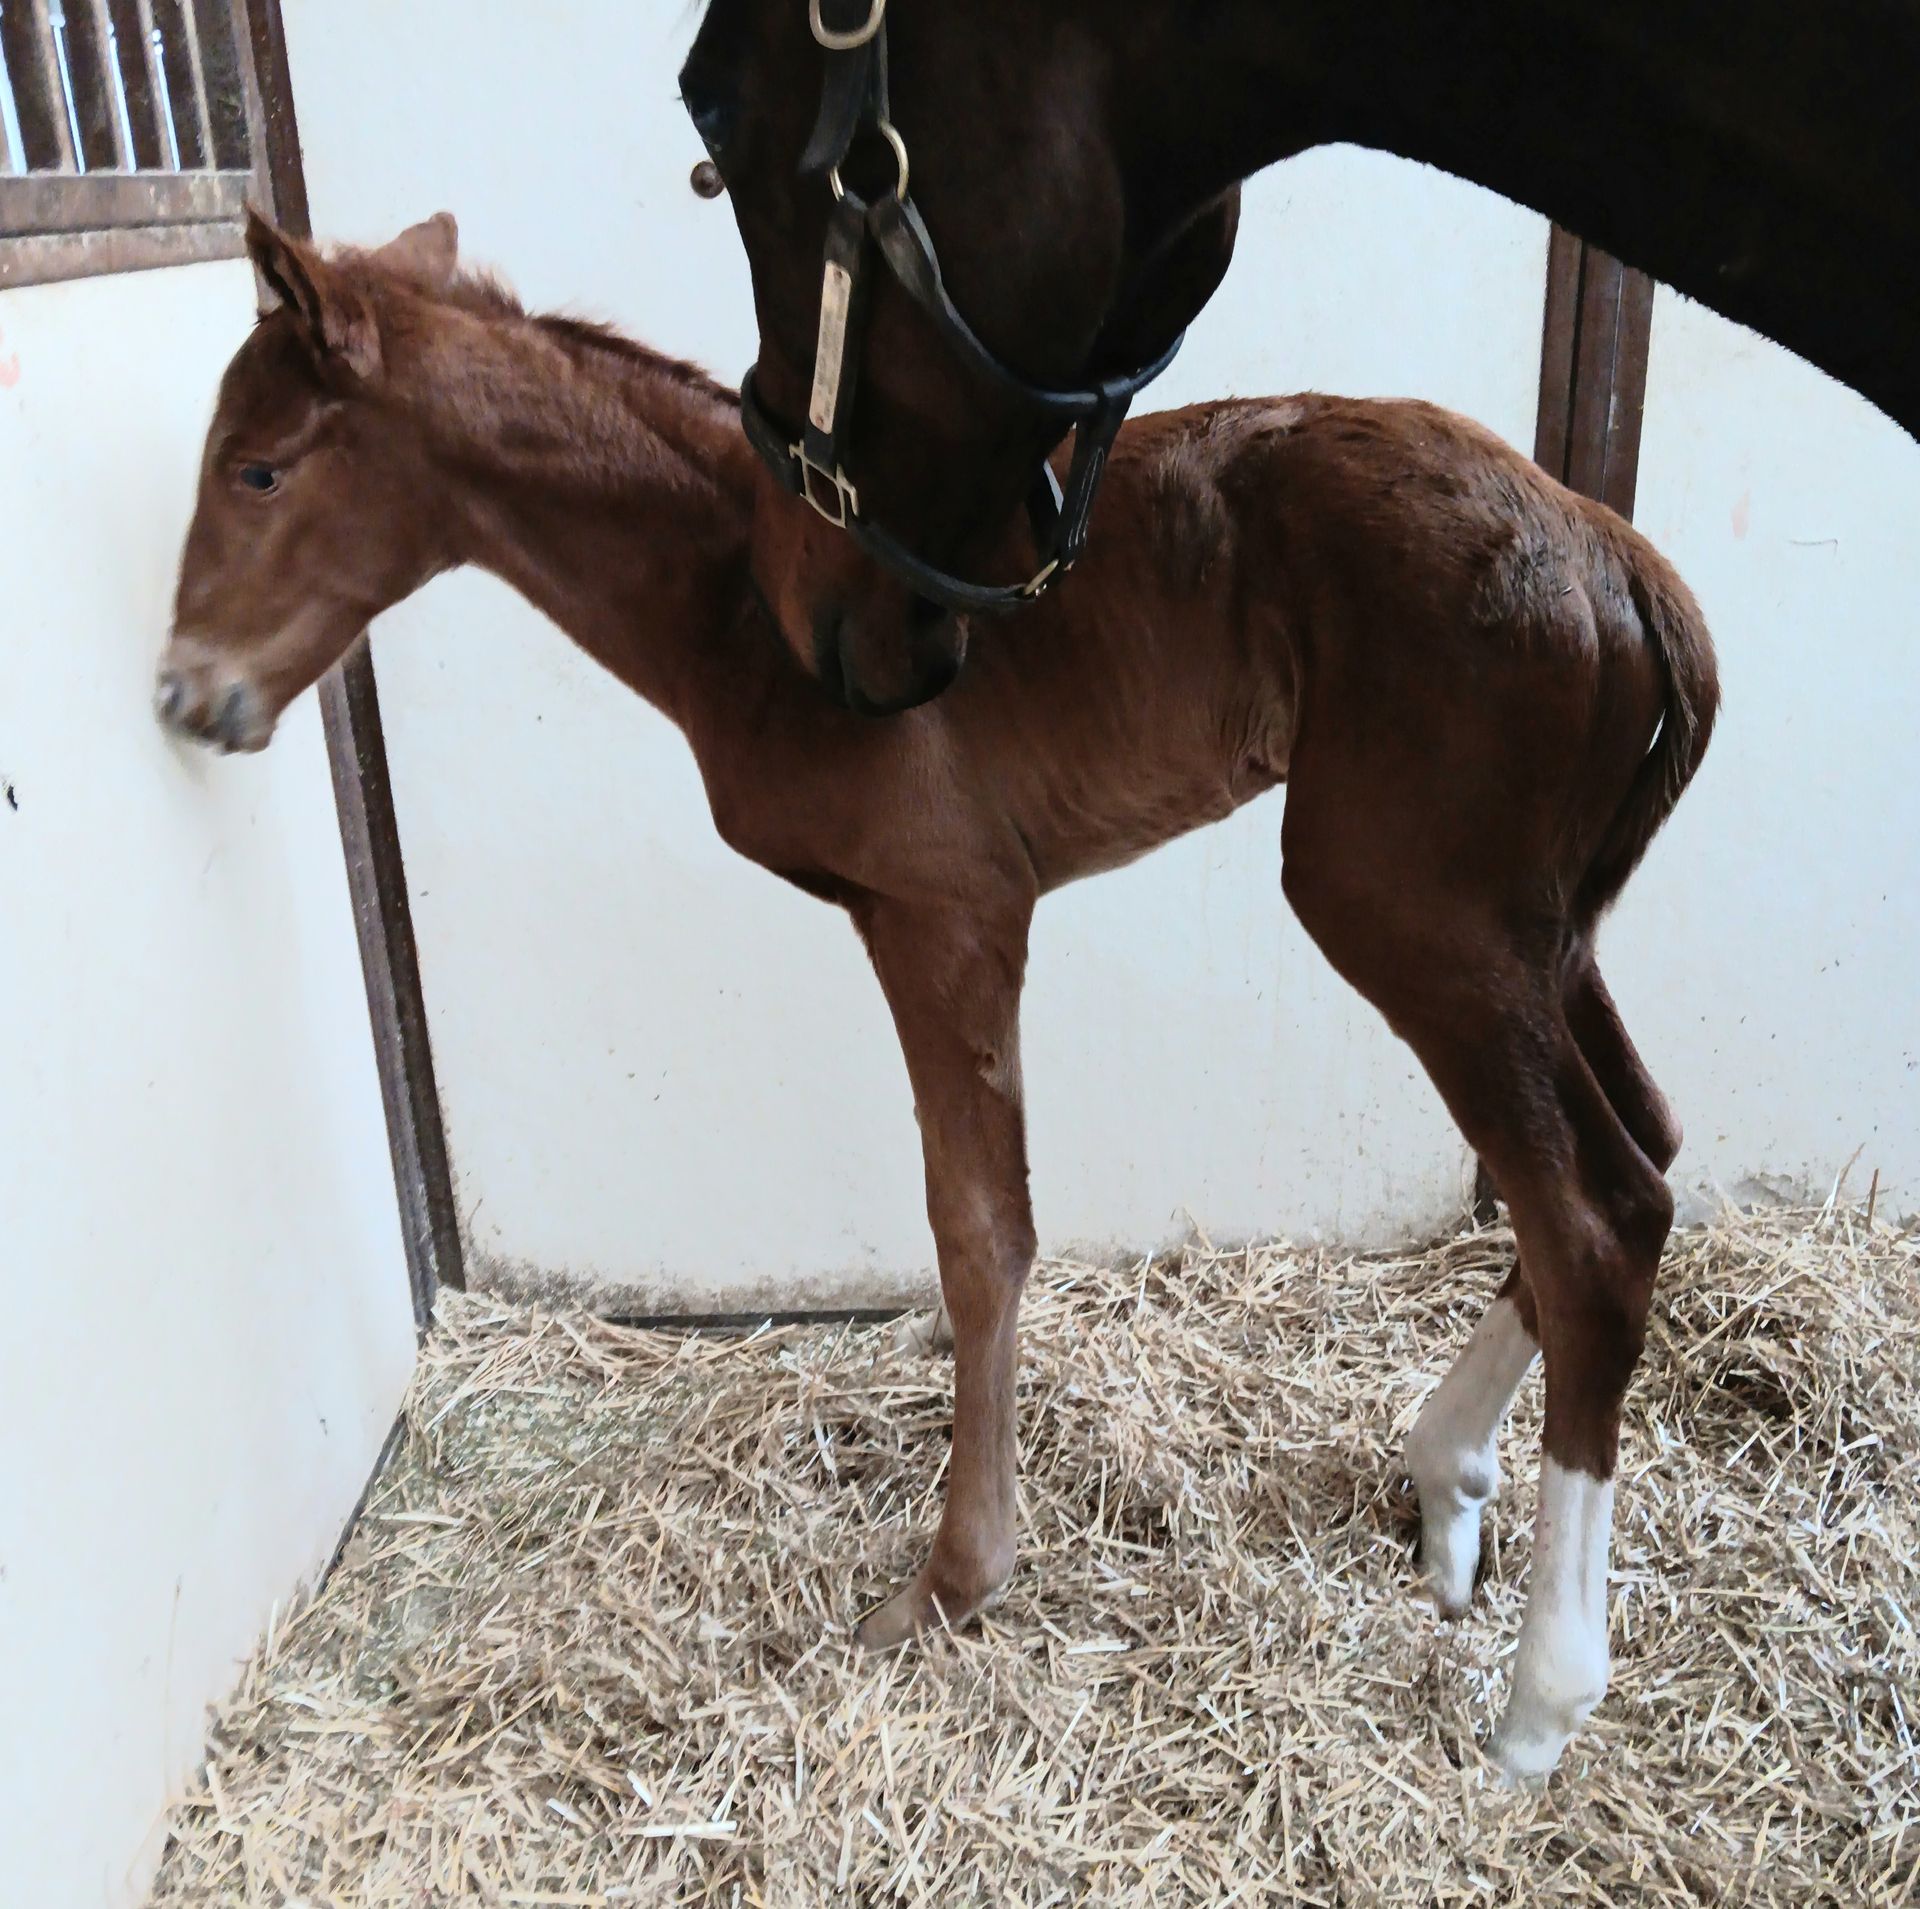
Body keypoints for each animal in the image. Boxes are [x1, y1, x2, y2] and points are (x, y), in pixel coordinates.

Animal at [158, 211, 1717, 1781]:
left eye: (258, 467)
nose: (185, 693)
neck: (741, 581)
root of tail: (1620, 553)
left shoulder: (946, 910)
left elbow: (980, 1233)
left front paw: (954, 1578)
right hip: (1534, 926)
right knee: (1640, 1149)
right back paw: (1448, 1484)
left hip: (1408, 910)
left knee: (1591, 1216)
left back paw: (1539, 1703)